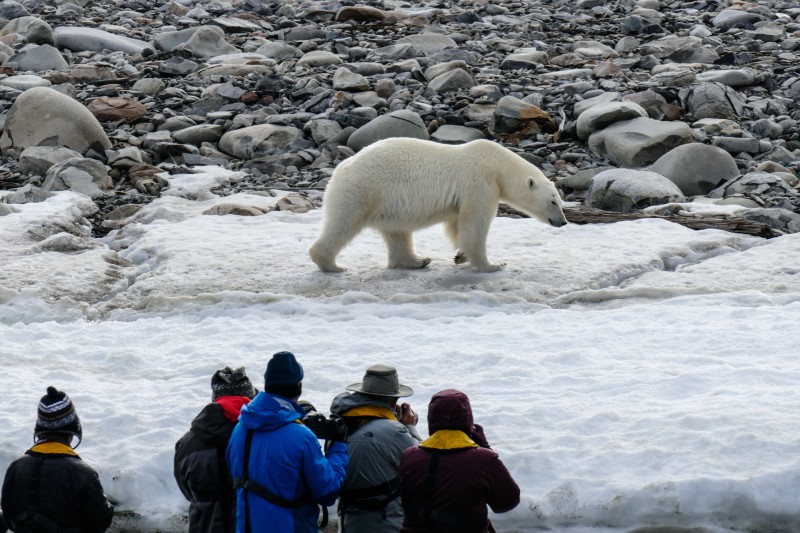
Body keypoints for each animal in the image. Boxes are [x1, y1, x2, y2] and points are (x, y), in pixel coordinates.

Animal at [308, 137, 568, 272]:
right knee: (343, 223)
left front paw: (461, 256)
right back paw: (333, 265)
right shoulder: (479, 181)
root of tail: (340, 169)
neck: (495, 163)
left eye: (560, 200)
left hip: (386, 203)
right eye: (553, 201)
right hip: (361, 191)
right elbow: (475, 223)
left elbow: (457, 224)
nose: (563, 222)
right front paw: (493, 264)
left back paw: (418, 260)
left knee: (397, 232)